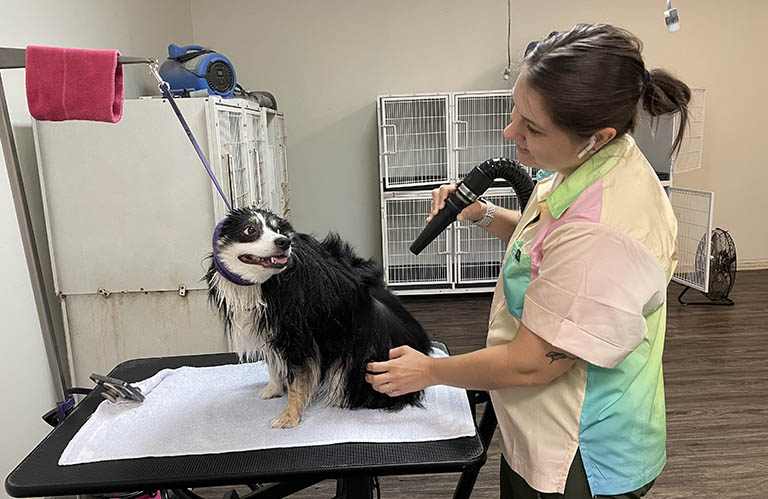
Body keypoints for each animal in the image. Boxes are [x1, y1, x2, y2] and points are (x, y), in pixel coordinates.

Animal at [206, 207, 432, 430]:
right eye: (249, 230)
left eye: (278, 229)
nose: (284, 242)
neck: (264, 283)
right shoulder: (269, 327)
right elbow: (272, 362)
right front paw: (274, 388)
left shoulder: (298, 333)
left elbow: (298, 378)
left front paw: (289, 417)